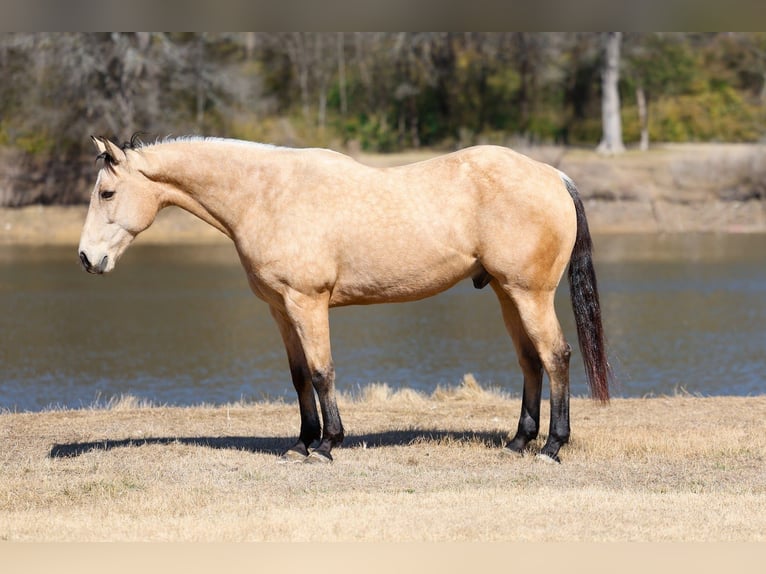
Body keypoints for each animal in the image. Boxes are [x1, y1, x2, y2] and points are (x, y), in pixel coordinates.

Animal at [78, 135, 611, 464]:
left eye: (106, 193)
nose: (86, 258)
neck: (267, 195)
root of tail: (555, 176)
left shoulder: (307, 302)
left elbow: (322, 372)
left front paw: (327, 445)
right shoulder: (280, 309)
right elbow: (298, 378)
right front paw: (302, 443)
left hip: (529, 294)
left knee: (556, 356)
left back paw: (551, 448)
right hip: (506, 293)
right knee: (530, 361)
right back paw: (519, 442)